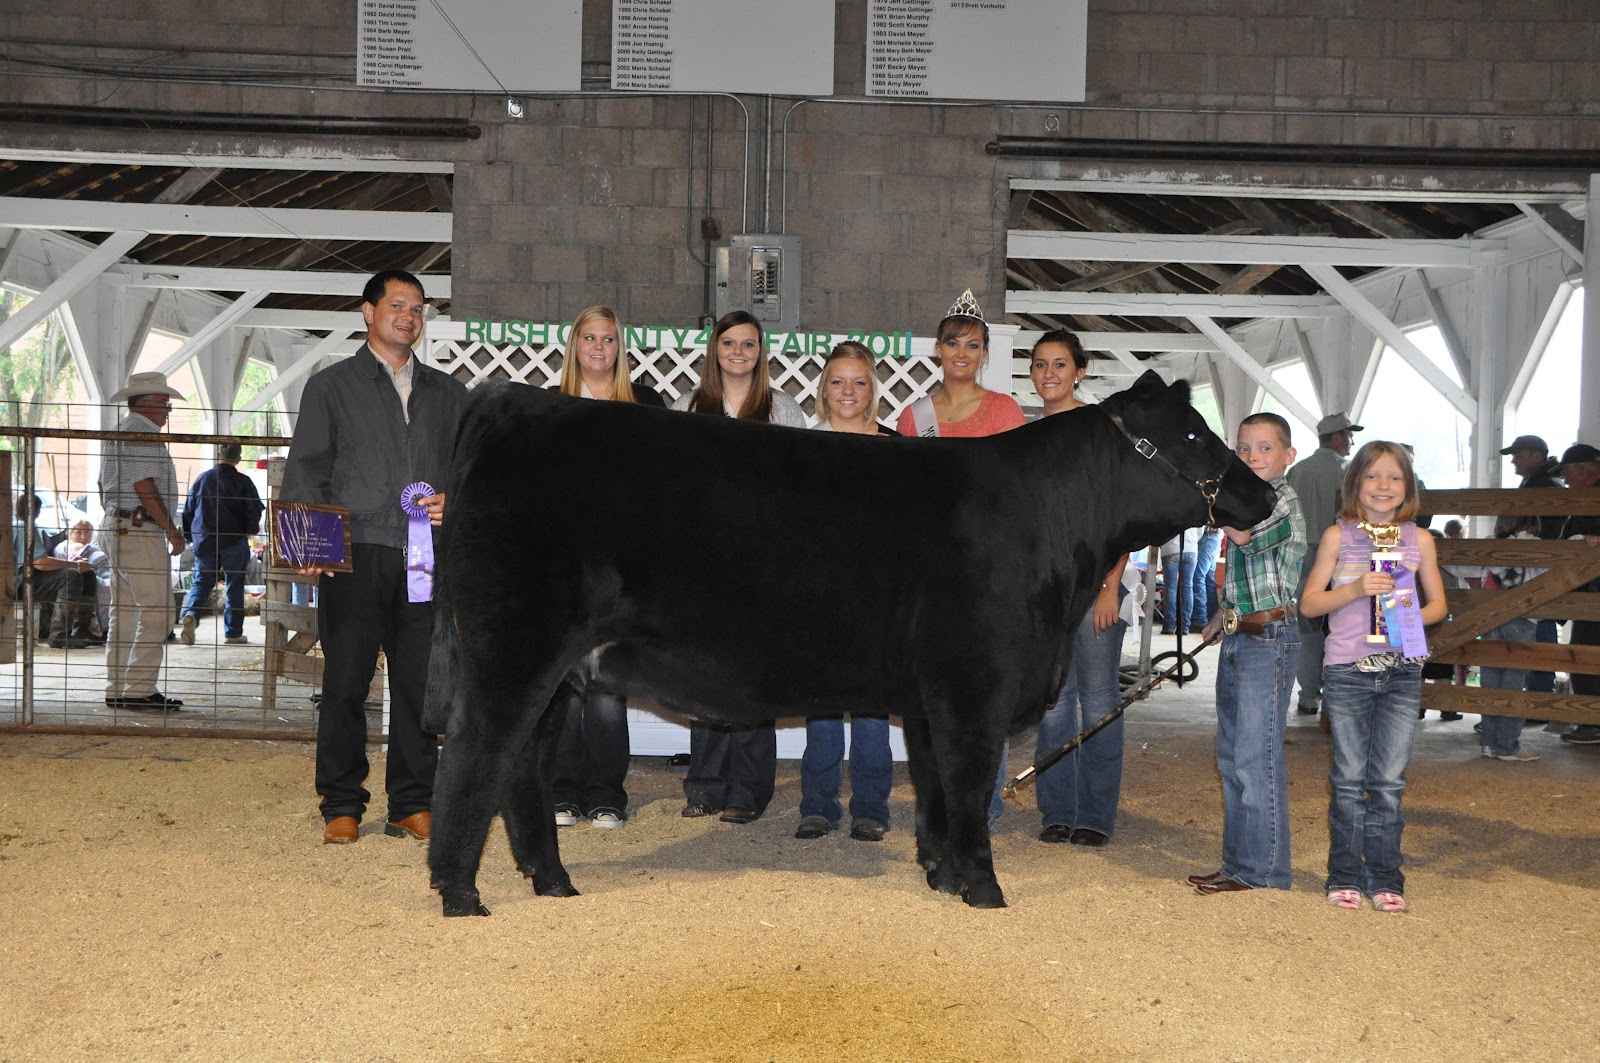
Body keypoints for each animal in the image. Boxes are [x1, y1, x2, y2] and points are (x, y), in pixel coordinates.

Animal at [423, 370, 1275, 916]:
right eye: (1194, 433)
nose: (1264, 492)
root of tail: (511, 401)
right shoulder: (975, 687)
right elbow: (970, 787)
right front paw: (985, 889)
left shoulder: (933, 698)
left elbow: (935, 789)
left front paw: (941, 874)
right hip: (514, 648)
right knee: (476, 753)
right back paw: (460, 893)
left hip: (557, 667)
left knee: (525, 765)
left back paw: (551, 881)